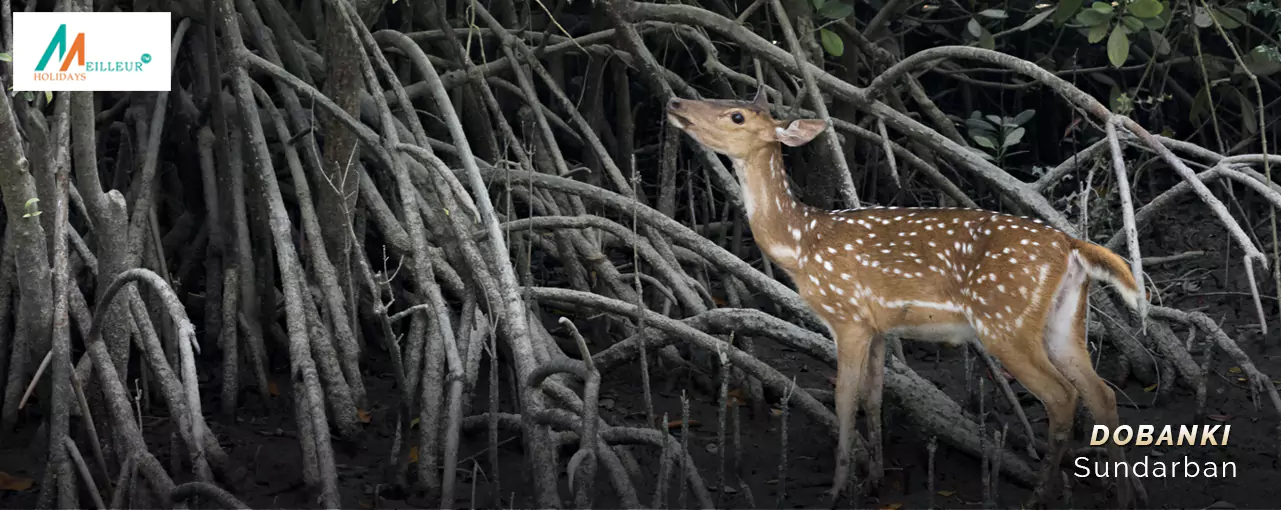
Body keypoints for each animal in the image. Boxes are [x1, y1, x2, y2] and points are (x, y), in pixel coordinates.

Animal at [666, 89, 1147, 507]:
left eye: (736, 116)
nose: (675, 102)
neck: (801, 246)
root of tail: (1071, 246)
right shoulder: (879, 326)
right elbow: (874, 397)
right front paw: (875, 480)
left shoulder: (847, 315)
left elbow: (844, 398)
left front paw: (838, 491)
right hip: (1064, 320)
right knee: (1101, 393)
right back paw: (1121, 496)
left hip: (1004, 320)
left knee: (1062, 396)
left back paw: (1039, 496)